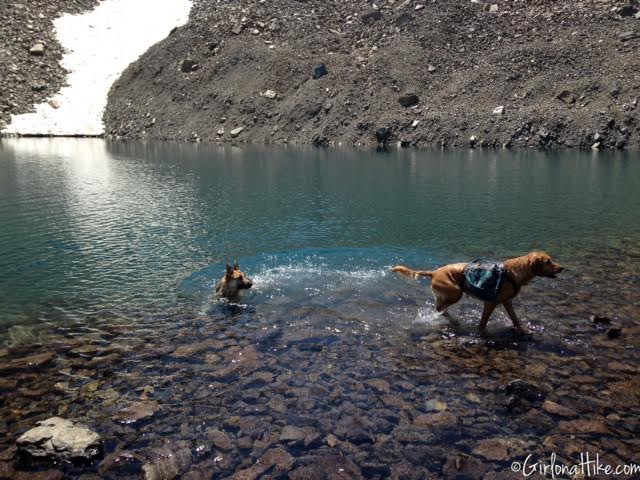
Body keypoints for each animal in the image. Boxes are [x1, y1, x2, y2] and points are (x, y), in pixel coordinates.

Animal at [390, 253, 564, 336]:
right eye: (548, 261)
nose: (562, 268)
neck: (513, 273)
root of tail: (434, 272)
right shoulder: (491, 302)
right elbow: (483, 323)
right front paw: (483, 333)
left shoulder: (507, 302)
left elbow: (515, 318)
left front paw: (524, 331)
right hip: (456, 293)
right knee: (440, 308)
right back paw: (454, 320)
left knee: (439, 306)